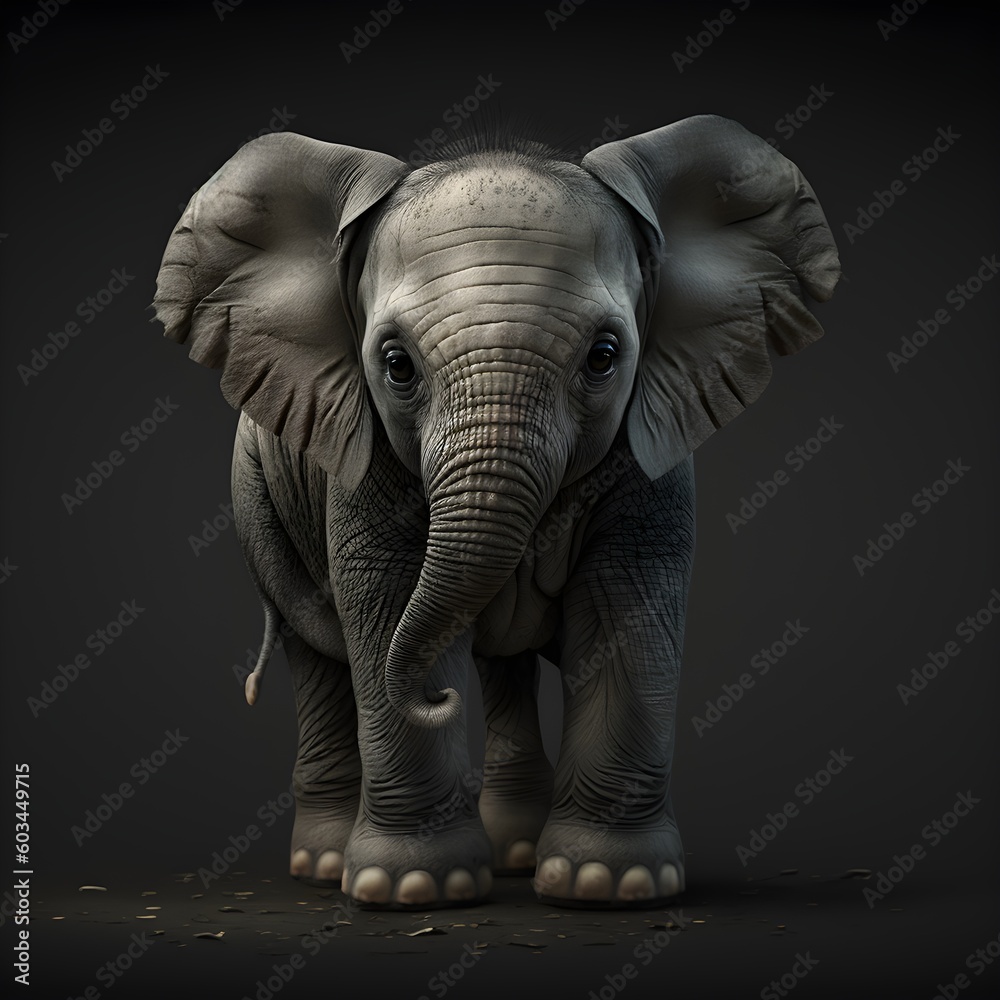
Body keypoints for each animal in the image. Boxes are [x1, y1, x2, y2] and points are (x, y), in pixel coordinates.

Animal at [152, 114, 839, 909]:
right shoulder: (360, 453)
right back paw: (324, 865)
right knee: (315, 647)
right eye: (396, 365)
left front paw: (610, 884)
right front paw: (413, 888)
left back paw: (512, 853)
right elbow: (381, 602)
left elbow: (625, 618)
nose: (434, 694)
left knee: (501, 668)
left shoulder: (649, 447)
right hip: (262, 499)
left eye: (605, 357)